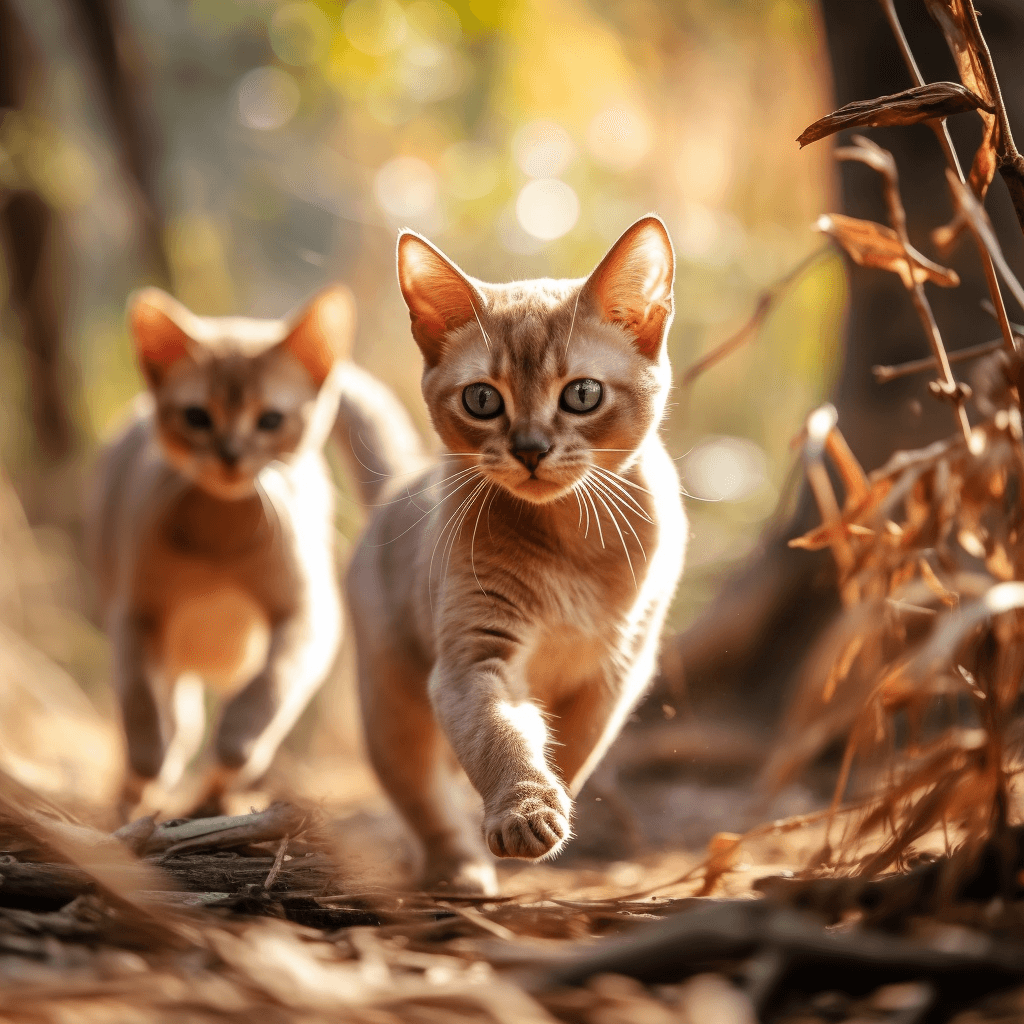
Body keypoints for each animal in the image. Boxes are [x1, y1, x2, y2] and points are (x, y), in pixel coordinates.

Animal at [88, 284, 352, 811]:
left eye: (270, 419)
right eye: (197, 417)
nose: (230, 455)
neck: (220, 544)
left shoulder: (308, 616)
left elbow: (267, 691)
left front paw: (234, 746)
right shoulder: (135, 614)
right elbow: (140, 705)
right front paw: (151, 762)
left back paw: (214, 798)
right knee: (177, 718)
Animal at [337, 218, 688, 897]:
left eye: (582, 394)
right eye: (482, 400)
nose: (529, 448)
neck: (574, 545)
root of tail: (399, 485)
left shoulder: (617, 671)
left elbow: (570, 750)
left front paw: (552, 805)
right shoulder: (475, 658)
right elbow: (501, 736)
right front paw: (523, 811)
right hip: (391, 712)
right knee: (425, 805)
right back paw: (459, 871)